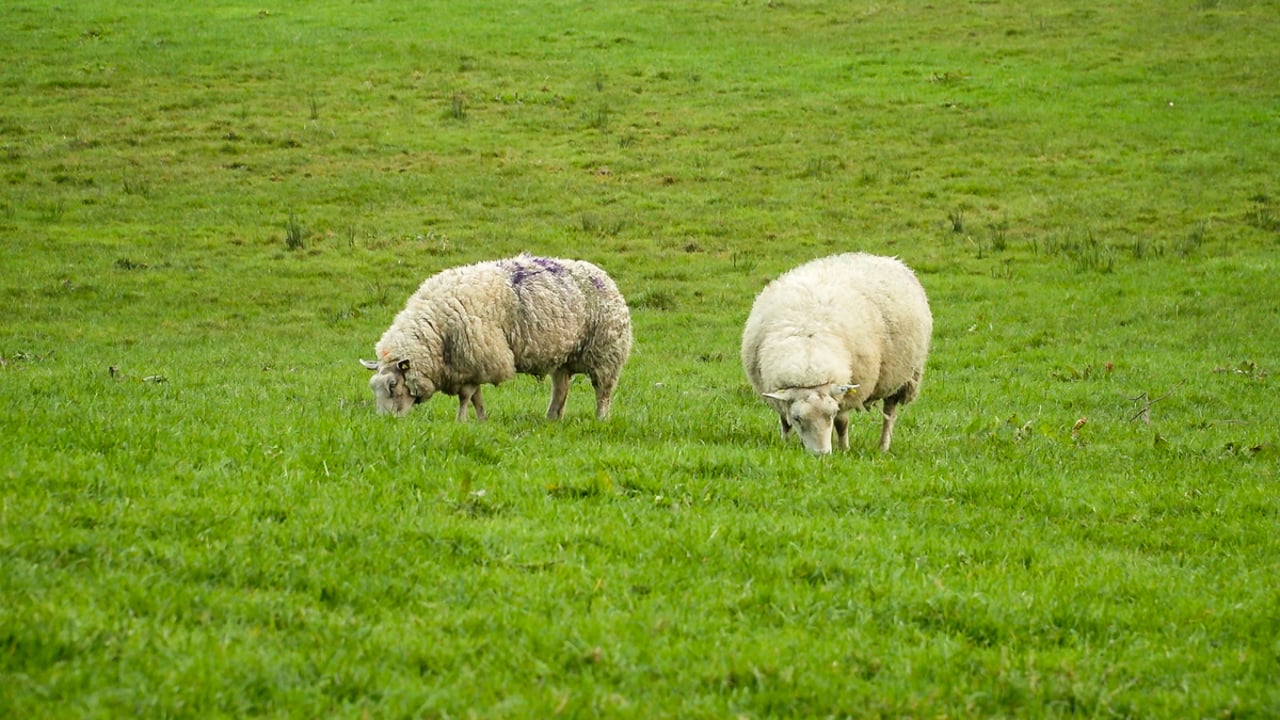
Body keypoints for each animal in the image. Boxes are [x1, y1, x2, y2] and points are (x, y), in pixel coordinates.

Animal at [361, 254, 632, 421]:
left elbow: (466, 396)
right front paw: (482, 419)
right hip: (563, 357)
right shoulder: (470, 364)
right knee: (561, 389)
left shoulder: (479, 358)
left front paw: (462, 421)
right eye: (374, 387)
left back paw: (601, 419)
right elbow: (476, 397)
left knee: (603, 392)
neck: (435, 331)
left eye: (393, 385)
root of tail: (601, 274)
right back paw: (552, 418)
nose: (386, 421)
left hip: (606, 353)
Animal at [740, 252, 932, 455]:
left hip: (901, 377)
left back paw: (883, 446)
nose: (821, 454)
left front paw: (844, 448)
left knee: (889, 413)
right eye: (798, 418)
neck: (808, 361)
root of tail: (888, 259)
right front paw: (785, 443)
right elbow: (785, 422)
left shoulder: (849, 390)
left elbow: (842, 422)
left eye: (830, 415)